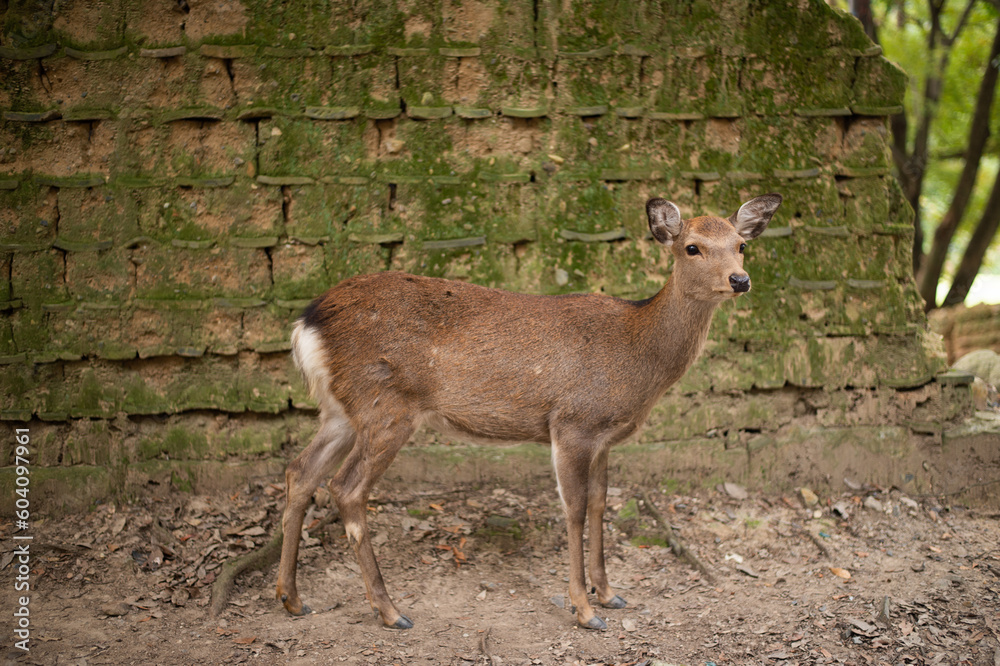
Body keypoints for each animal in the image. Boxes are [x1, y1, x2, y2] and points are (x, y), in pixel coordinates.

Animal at [275, 193, 782, 630]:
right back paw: (390, 611)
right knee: (345, 487)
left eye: (741, 246)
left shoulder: (605, 437)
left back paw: (292, 597)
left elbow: (600, 503)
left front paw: (609, 593)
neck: (638, 359)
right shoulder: (573, 422)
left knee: (300, 471)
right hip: (387, 406)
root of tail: (307, 323)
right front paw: (584, 610)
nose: (740, 280)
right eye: (692, 247)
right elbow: (574, 508)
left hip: (342, 410)